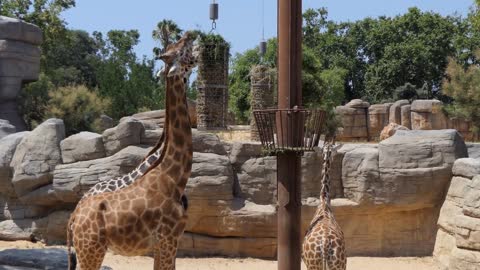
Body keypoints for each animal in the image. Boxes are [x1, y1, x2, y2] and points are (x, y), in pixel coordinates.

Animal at [66, 31, 198, 270]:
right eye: (182, 52)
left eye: (178, 45)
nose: (190, 34)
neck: (174, 177)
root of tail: (73, 217)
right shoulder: (168, 238)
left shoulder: (167, 242)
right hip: (91, 250)